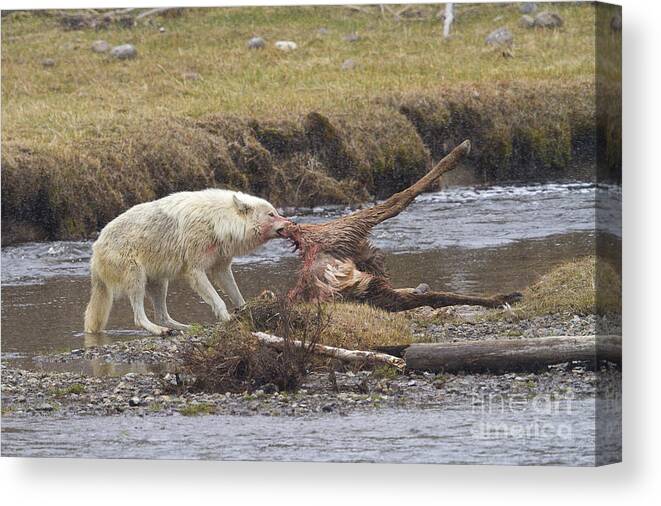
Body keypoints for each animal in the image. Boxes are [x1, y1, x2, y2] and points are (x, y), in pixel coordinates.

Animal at [82, 190, 288, 336]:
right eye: (271, 214)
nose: (290, 223)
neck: (218, 222)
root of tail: (95, 250)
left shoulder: (221, 268)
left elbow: (238, 297)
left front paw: (247, 312)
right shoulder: (195, 272)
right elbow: (219, 301)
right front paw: (228, 319)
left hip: (160, 283)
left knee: (162, 316)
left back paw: (186, 327)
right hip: (136, 278)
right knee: (139, 317)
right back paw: (160, 331)